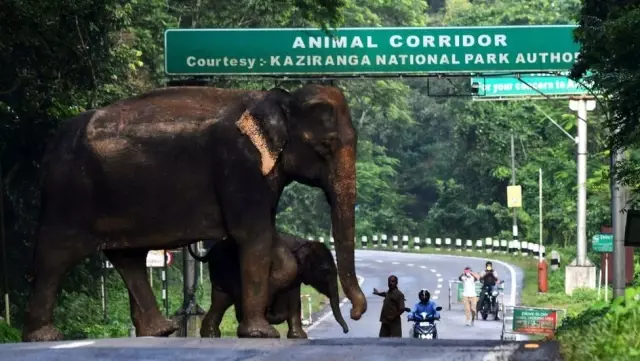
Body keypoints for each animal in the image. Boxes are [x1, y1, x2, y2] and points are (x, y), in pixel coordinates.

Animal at [191, 232, 350, 338]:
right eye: (325, 271)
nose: (346, 331)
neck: (303, 242)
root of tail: (209, 253)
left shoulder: (294, 276)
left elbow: (294, 300)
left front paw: (298, 337)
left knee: (221, 300)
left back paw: (211, 335)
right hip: (228, 267)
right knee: (232, 296)